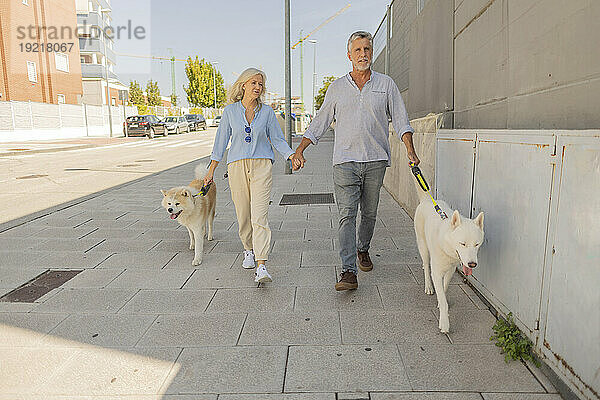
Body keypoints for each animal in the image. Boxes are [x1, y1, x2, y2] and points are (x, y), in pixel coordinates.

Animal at [414, 188, 486, 334]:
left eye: (477, 244)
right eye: (462, 244)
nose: (472, 264)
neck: (447, 245)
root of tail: (427, 200)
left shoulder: (451, 270)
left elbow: (445, 287)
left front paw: (440, 299)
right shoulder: (436, 272)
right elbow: (443, 299)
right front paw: (444, 322)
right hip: (423, 246)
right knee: (426, 264)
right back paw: (428, 285)